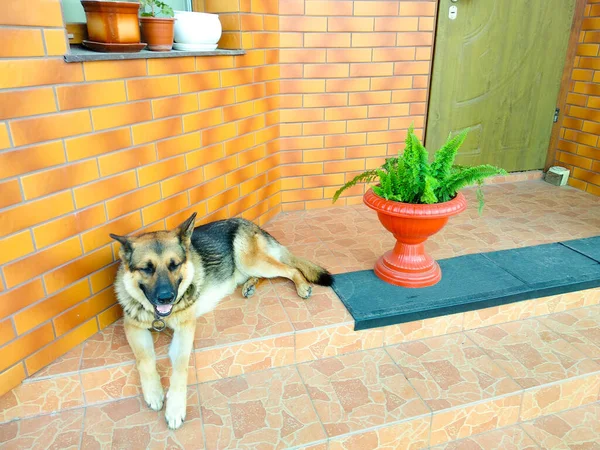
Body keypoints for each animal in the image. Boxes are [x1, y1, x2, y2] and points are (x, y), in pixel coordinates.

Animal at [111, 212, 332, 428]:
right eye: (146, 269)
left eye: (174, 265)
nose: (166, 297)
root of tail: (247, 222)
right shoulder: (132, 327)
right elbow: (145, 359)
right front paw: (154, 393)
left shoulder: (185, 328)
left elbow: (180, 367)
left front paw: (175, 409)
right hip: (248, 267)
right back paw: (250, 285)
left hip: (250, 261)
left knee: (290, 269)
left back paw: (302, 286)